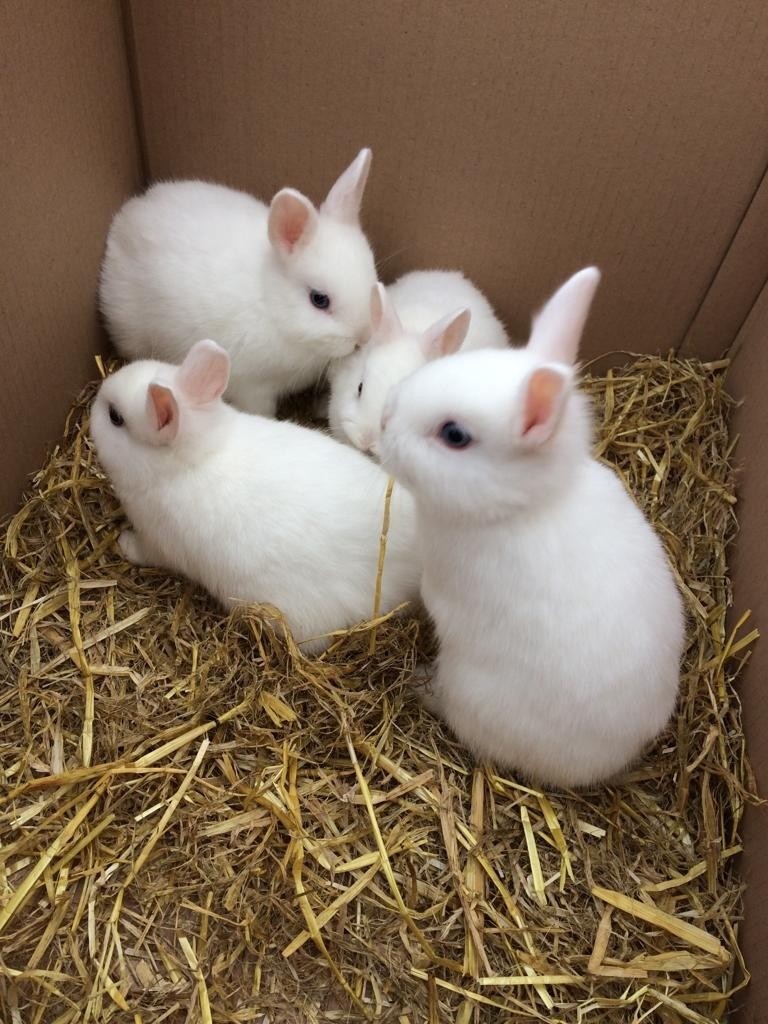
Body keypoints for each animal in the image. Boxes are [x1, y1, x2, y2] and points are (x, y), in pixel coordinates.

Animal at [89, 339, 421, 655]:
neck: (196, 456)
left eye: (115, 417)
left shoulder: (157, 541)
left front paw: (122, 542)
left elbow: (143, 552)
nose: (96, 397)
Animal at [99, 149, 377, 418]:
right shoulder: (254, 389)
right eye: (319, 299)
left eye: (373, 280)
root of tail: (123, 218)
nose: (362, 338)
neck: (270, 303)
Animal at [378, 267, 685, 788]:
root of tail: (616, 761)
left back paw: (421, 686)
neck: (523, 506)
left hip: (469, 691)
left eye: (454, 435)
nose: (382, 421)